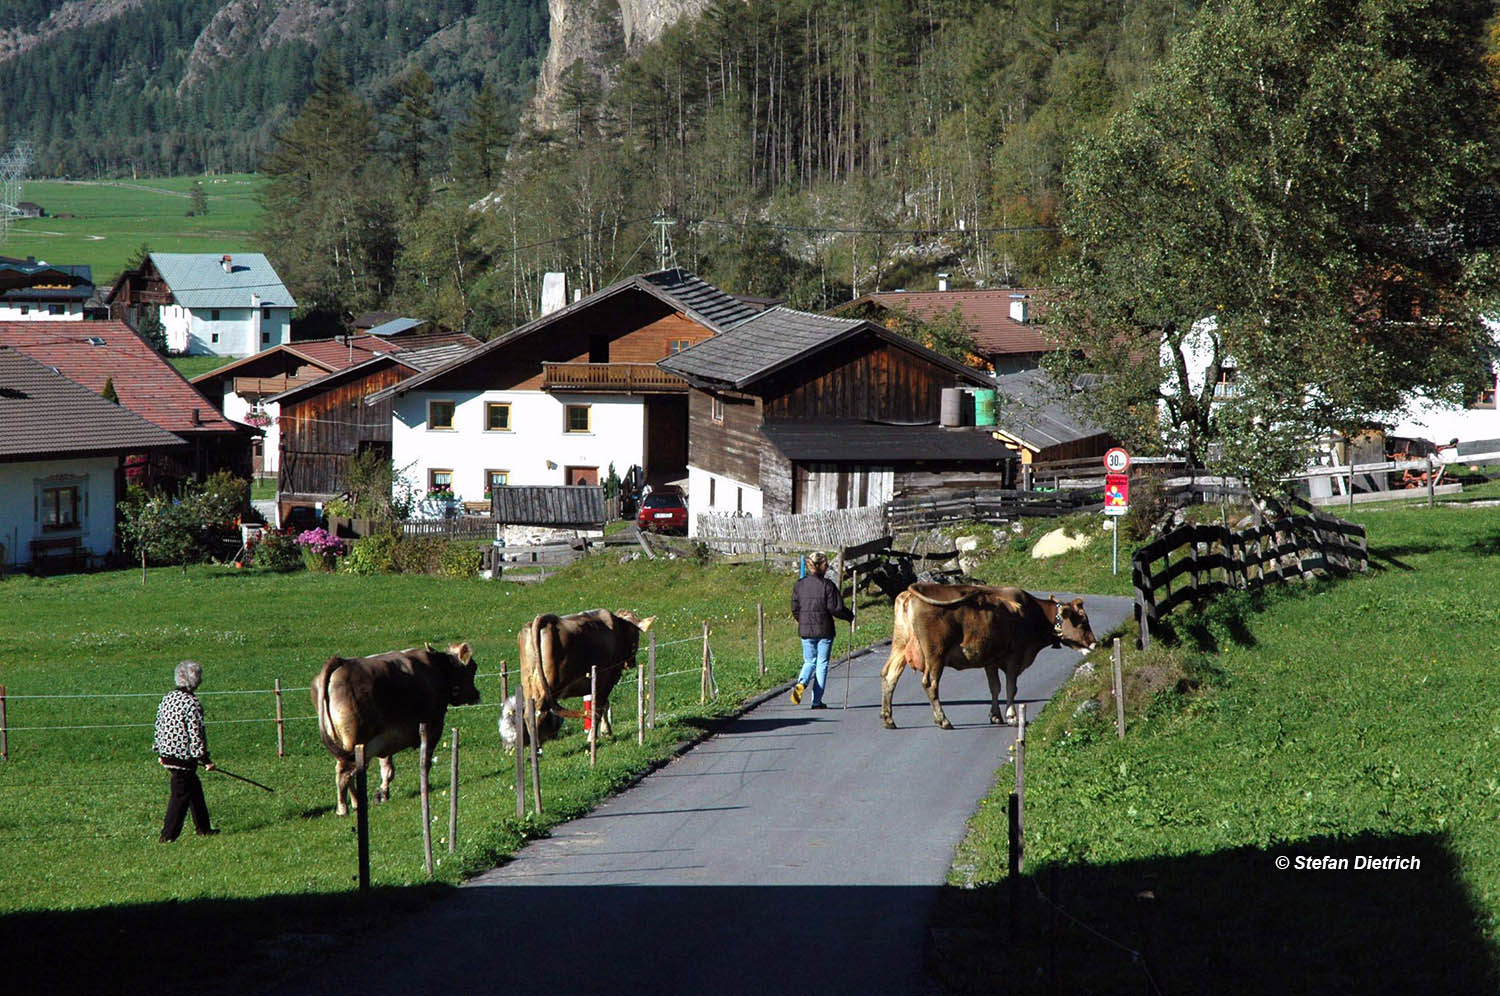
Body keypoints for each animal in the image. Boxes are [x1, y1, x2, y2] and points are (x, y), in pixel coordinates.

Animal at [312, 645, 480, 816]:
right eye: (473, 668)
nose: (477, 695)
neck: (437, 669)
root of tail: (341, 662)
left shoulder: (385, 740)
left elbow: (387, 769)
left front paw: (382, 794)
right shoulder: (433, 727)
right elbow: (425, 761)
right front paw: (424, 784)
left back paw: (357, 803)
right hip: (355, 742)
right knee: (344, 773)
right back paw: (343, 808)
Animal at [504, 606, 657, 747]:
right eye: (636, 633)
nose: (632, 663)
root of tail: (543, 620)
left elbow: (602, 705)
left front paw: (605, 731)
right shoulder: (607, 679)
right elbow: (599, 706)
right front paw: (594, 736)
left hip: (528, 684)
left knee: (528, 713)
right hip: (550, 685)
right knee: (538, 712)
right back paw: (537, 748)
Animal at [876, 585, 1104, 732]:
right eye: (1083, 621)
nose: (1095, 644)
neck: (1032, 612)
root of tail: (910, 593)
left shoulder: (990, 660)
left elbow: (995, 687)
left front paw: (996, 716)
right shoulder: (1014, 656)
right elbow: (1011, 687)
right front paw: (1012, 716)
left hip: (900, 645)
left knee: (889, 676)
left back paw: (888, 719)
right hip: (935, 654)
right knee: (930, 684)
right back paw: (944, 721)